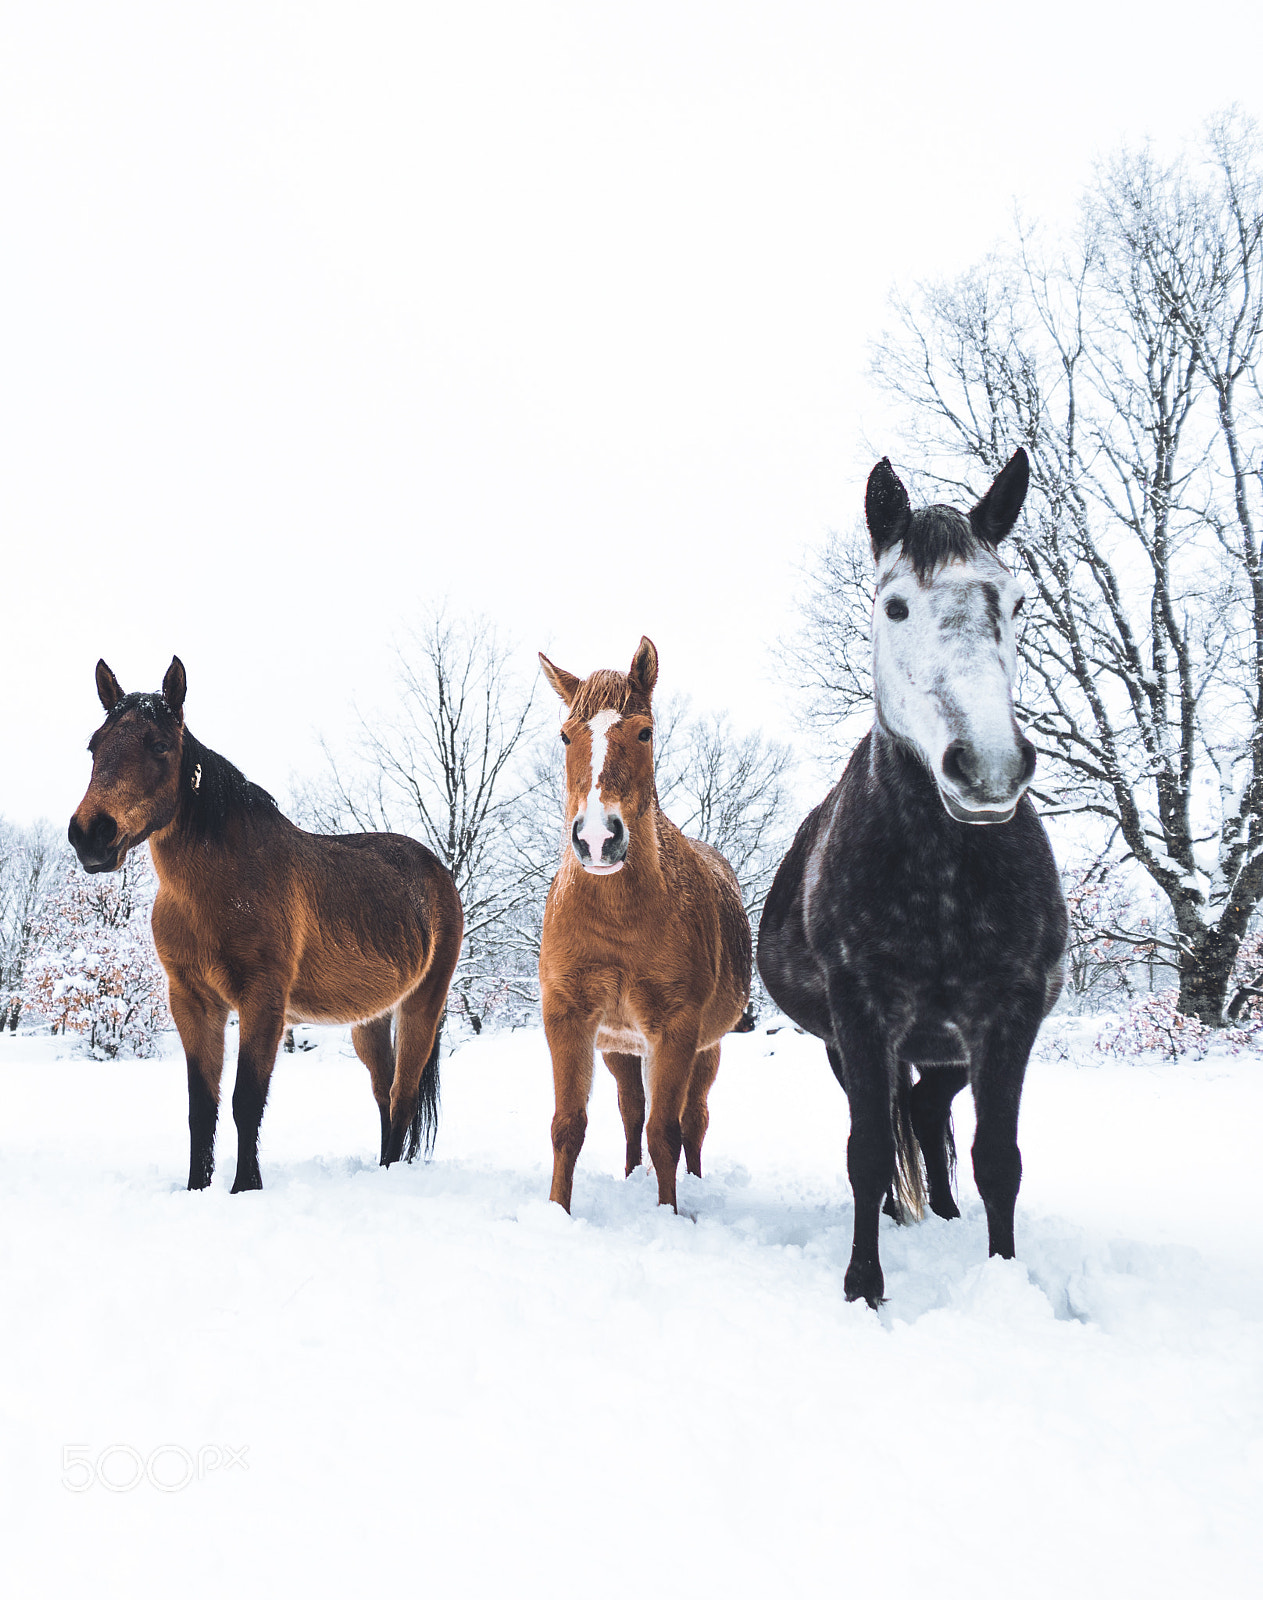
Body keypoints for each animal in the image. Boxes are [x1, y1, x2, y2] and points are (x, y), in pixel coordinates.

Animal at [68, 656, 464, 1192]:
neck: (222, 886)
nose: (91, 835)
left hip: (422, 1005)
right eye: (95, 745)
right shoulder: (193, 1002)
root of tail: (437, 871)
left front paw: (245, 1187)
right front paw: (198, 1189)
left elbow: (245, 1101)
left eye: (160, 745)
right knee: (384, 1093)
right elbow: (202, 1108)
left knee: (402, 1097)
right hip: (371, 1019)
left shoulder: (263, 1000)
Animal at [537, 637, 752, 1213]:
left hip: (704, 1050)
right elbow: (569, 1125)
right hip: (620, 1049)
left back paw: (692, 1183)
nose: (597, 839)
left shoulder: (676, 1029)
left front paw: (669, 1214)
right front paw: (557, 1213)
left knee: (692, 1120)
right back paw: (632, 1174)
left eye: (644, 732)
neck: (619, 919)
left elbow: (667, 1133)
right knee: (631, 1111)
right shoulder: (569, 1016)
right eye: (565, 735)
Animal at [757, 450, 1067, 1305]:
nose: (989, 768)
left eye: (1015, 601)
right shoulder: (860, 1016)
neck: (938, 885)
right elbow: (866, 1151)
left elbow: (999, 1161)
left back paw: (945, 1212)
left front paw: (1002, 1282)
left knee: (926, 1112)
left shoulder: (1007, 1018)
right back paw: (905, 1214)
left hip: (948, 1051)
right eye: (894, 607)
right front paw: (863, 1284)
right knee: (901, 1114)